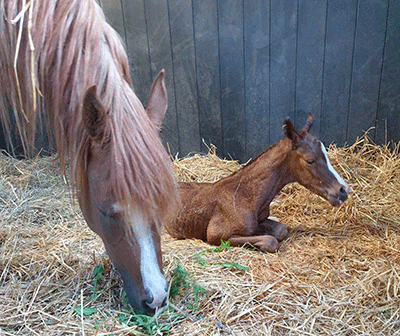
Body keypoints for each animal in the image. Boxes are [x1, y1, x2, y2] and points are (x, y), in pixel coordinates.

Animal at [166, 115, 350, 252]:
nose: (343, 190)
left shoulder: (260, 220)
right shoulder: (216, 235)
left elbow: (281, 230)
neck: (246, 195)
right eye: (310, 160)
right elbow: (270, 241)